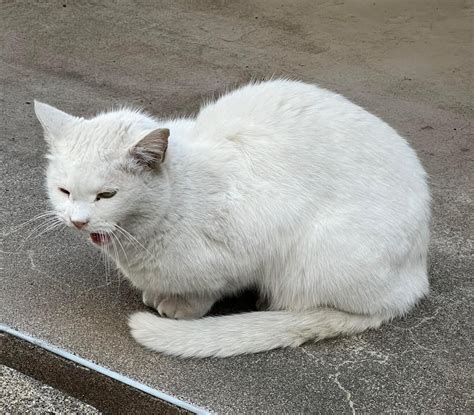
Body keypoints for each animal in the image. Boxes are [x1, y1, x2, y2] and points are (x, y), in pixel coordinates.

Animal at [35, 80, 432, 358]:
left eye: (107, 196)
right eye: (64, 191)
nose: (78, 221)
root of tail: (417, 274)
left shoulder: (255, 234)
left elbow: (209, 289)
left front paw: (181, 306)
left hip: (318, 257)